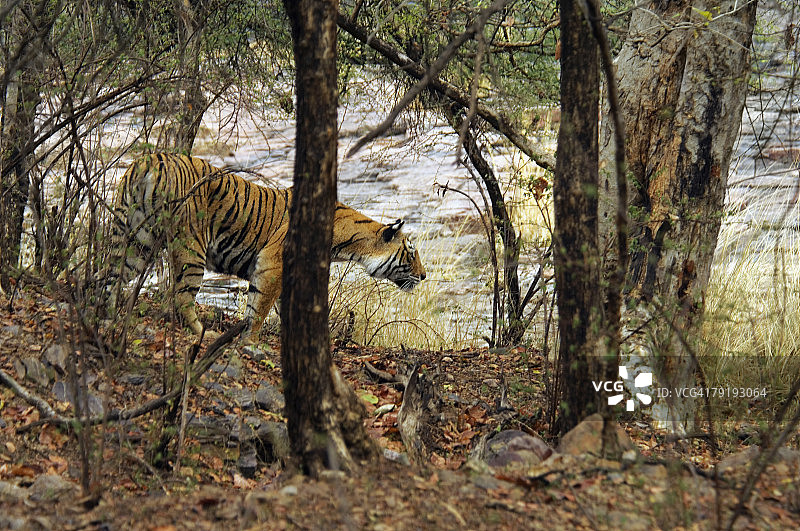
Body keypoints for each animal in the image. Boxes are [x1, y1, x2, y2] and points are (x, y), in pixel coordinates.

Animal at [107, 153, 425, 340]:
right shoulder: (273, 264)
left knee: (109, 277)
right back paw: (204, 334)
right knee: (180, 296)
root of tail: (151, 159)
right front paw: (250, 340)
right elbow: (258, 308)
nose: (423, 276)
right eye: (411, 253)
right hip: (191, 248)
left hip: (133, 239)